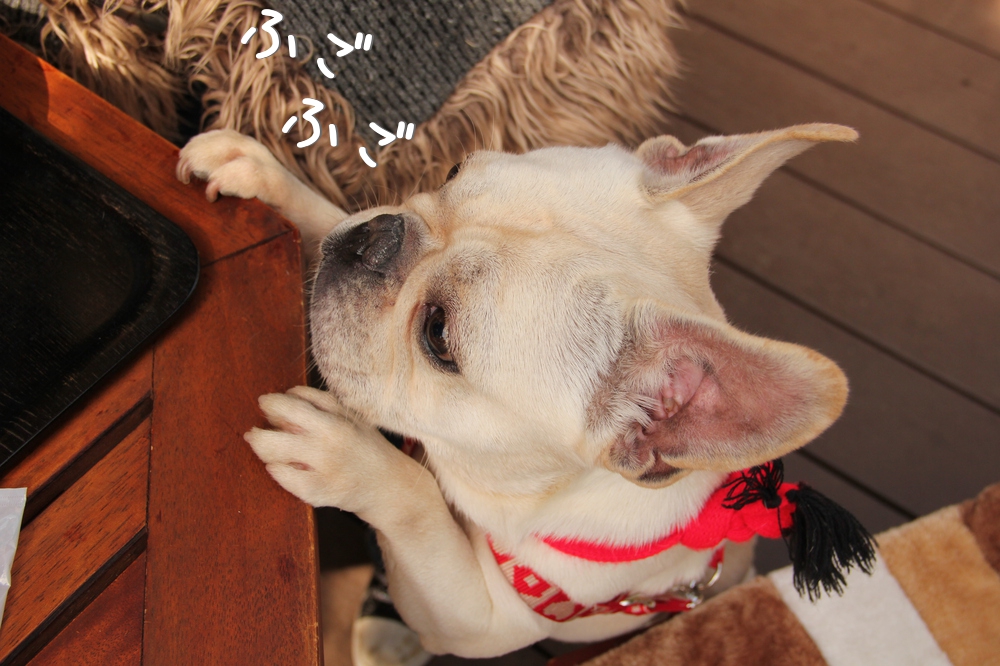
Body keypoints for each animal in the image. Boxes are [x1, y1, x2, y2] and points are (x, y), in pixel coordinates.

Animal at [176, 122, 856, 658]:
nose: (374, 241)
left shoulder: (475, 619)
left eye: (438, 335)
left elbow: (419, 500)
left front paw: (344, 453)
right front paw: (265, 174)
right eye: (451, 170)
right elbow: (329, 219)